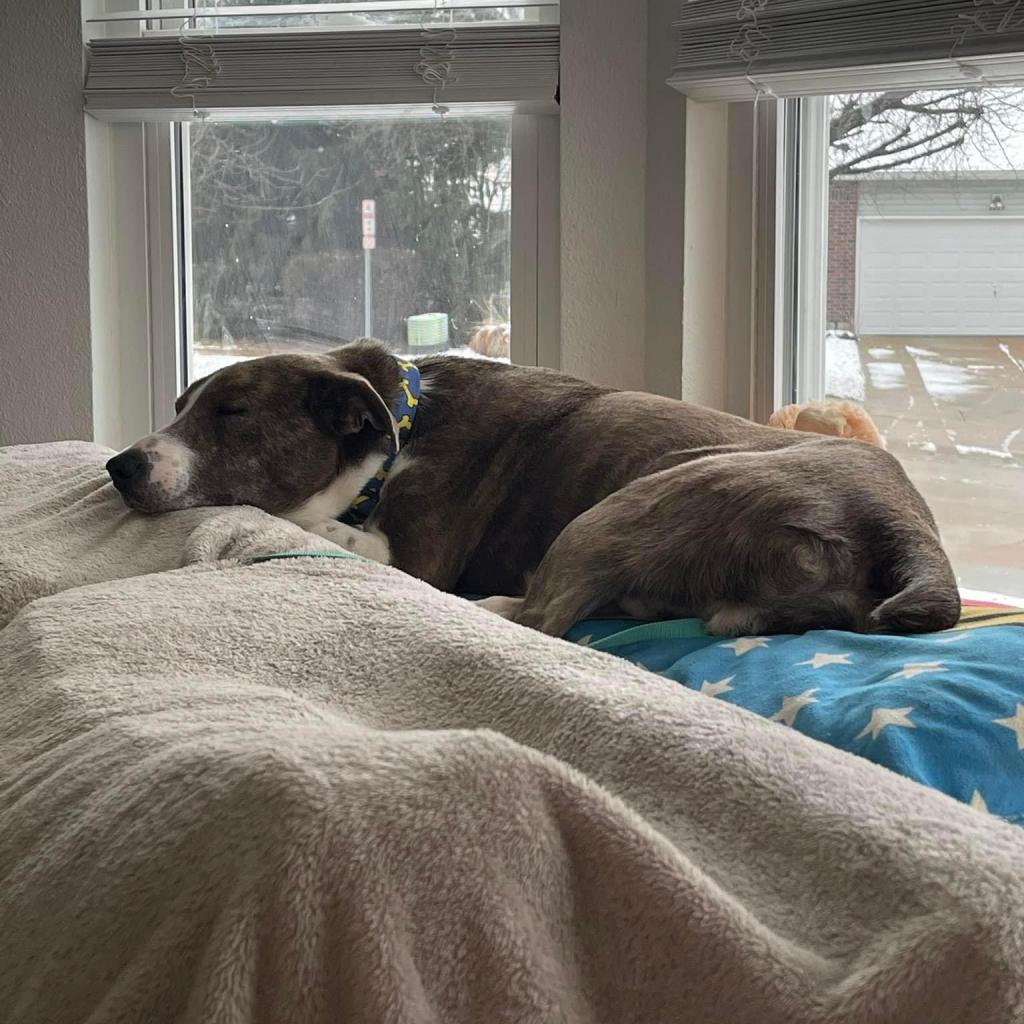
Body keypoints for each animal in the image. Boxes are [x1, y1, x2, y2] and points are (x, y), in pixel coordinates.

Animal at [105, 339, 958, 634]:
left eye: (233, 411)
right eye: (179, 405)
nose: (120, 466)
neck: (399, 429)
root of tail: (907, 527)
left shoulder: (413, 556)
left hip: (629, 505)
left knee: (542, 619)